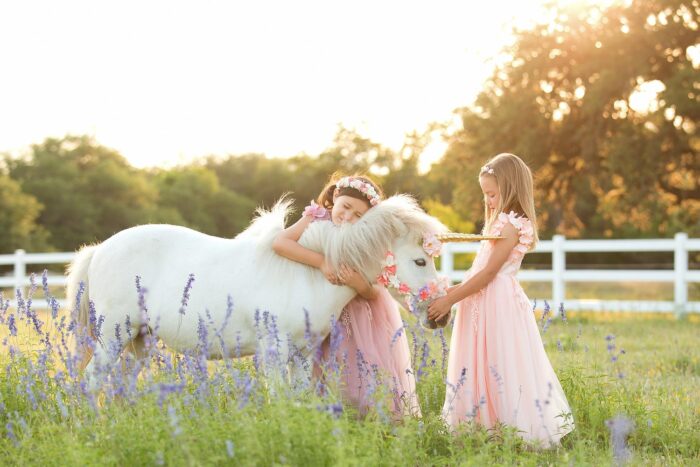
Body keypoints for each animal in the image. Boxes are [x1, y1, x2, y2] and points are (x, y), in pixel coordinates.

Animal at [67, 196, 448, 382]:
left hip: (140, 341)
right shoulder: (275, 352)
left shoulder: (302, 354)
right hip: (113, 337)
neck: (306, 274)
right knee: (94, 380)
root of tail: (99, 249)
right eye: (419, 261)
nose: (439, 316)